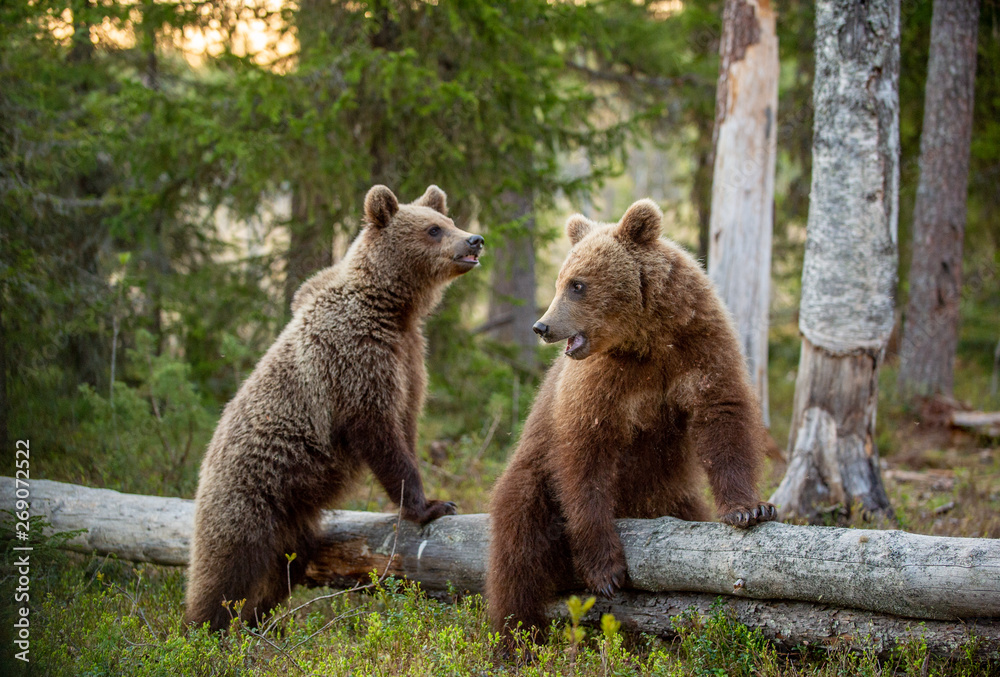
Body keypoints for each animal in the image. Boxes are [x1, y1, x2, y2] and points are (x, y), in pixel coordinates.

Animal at [185, 184, 484, 631]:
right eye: (433, 229)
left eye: (450, 221)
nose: (474, 240)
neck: (394, 308)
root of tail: (203, 468)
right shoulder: (354, 358)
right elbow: (379, 432)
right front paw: (430, 505)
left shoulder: (410, 358)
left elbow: (407, 423)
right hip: (247, 494)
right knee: (224, 567)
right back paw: (203, 628)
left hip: (296, 520)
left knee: (285, 566)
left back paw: (261, 622)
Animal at [486, 198, 775, 646]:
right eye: (561, 281)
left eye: (577, 284)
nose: (542, 326)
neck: (646, 337)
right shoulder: (601, 381)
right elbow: (585, 458)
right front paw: (606, 571)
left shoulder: (698, 344)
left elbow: (722, 415)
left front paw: (748, 509)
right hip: (532, 483)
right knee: (518, 560)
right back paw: (517, 642)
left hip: (672, 497)